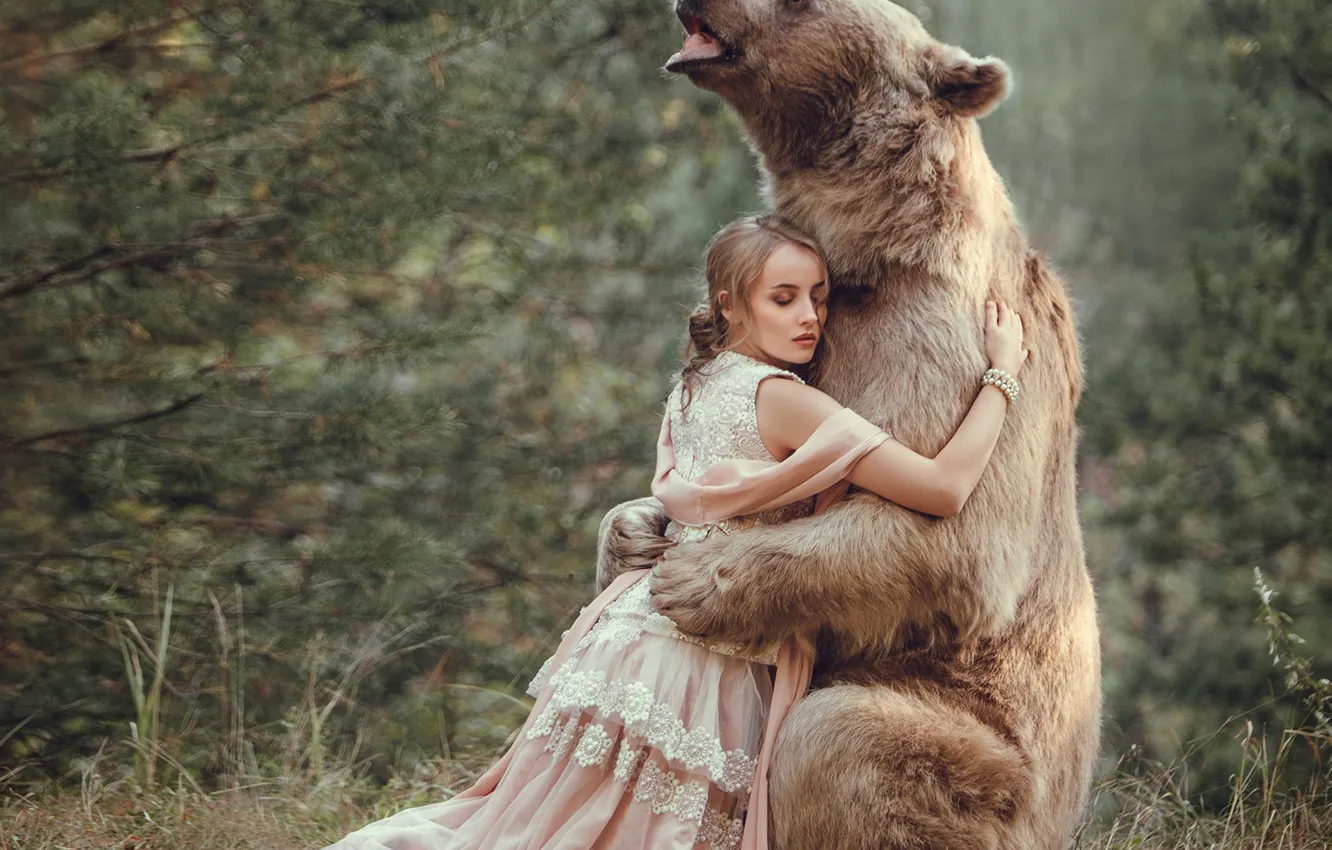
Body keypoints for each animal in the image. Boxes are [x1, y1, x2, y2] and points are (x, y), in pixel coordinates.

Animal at [596, 1, 1101, 848]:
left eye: (800, 3)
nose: (692, 4)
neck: (867, 251)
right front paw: (632, 532)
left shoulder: (939, 341)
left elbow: (950, 530)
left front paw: (702, 578)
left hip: (989, 755)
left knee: (838, 737)